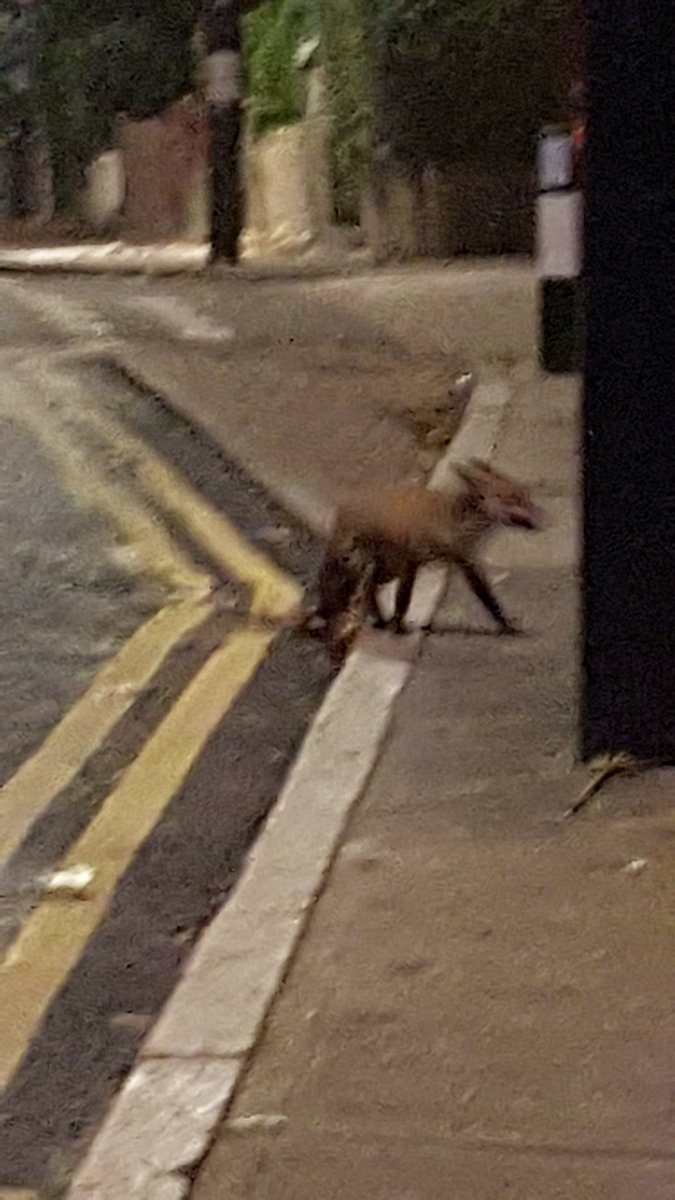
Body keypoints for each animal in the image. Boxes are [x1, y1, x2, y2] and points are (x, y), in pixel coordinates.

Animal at [307, 456, 538, 657]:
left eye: (526, 496)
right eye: (513, 498)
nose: (541, 515)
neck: (455, 523)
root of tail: (343, 508)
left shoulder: (465, 561)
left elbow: (489, 599)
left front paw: (507, 625)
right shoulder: (414, 561)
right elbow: (404, 601)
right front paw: (399, 628)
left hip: (388, 569)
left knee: (370, 588)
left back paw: (378, 620)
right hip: (362, 566)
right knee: (343, 597)